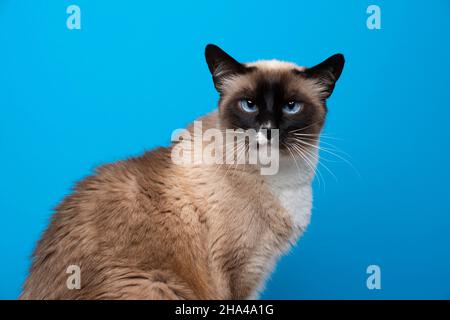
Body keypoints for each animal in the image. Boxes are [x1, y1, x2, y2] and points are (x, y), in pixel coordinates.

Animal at [20, 43, 344, 298]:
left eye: (291, 106)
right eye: (249, 104)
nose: (268, 131)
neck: (281, 179)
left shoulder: (256, 268)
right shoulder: (239, 270)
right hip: (156, 285)